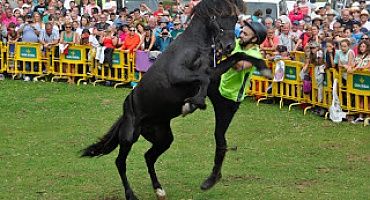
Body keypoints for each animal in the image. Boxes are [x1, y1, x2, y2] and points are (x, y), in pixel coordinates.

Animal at [81, 0, 249, 199]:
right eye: (217, 15)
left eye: (235, 17)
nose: (229, 45)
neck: (195, 46)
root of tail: (126, 112)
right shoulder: (177, 74)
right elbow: (203, 79)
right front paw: (194, 104)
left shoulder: (213, 71)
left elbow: (223, 67)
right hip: (129, 136)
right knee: (120, 162)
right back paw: (131, 194)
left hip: (163, 138)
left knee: (148, 157)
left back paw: (159, 189)